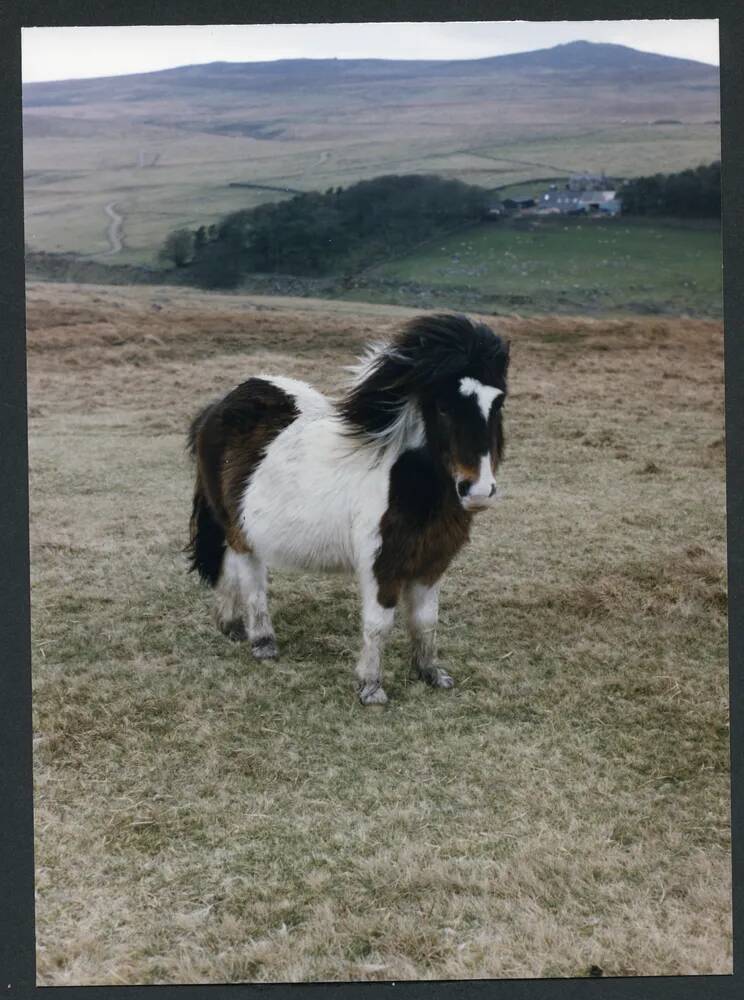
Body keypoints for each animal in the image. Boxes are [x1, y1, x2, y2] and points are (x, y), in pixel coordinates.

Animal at [189, 312, 508, 704]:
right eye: (444, 406)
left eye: (498, 403)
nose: (478, 490)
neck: (407, 483)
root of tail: (218, 407)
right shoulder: (381, 565)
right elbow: (378, 624)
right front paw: (370, 688)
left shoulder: (432, 563)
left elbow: (426, 620)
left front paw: (430, 673)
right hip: (237, 529)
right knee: (250, 576)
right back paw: (262, 641)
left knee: (231, 566)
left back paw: (231, 624)